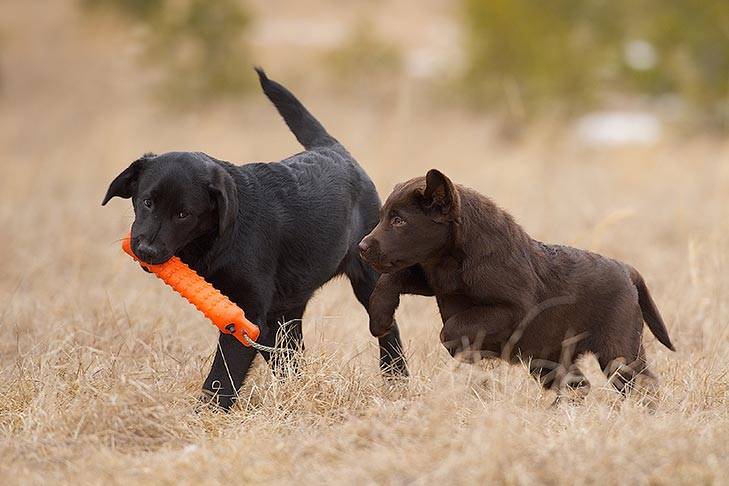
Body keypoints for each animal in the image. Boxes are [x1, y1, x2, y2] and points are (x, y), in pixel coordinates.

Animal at [101, 68, 406, 410]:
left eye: (183, 214)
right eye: (147, 202)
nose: (145, 249)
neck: (223, 236)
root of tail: (334, 149)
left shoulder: (245, 315)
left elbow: (222, 375)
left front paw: (205, 414)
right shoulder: (259, 316)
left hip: (367, 276)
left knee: (388, 329)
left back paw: (396, 377)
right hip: (286, 309)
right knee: (289, 355)